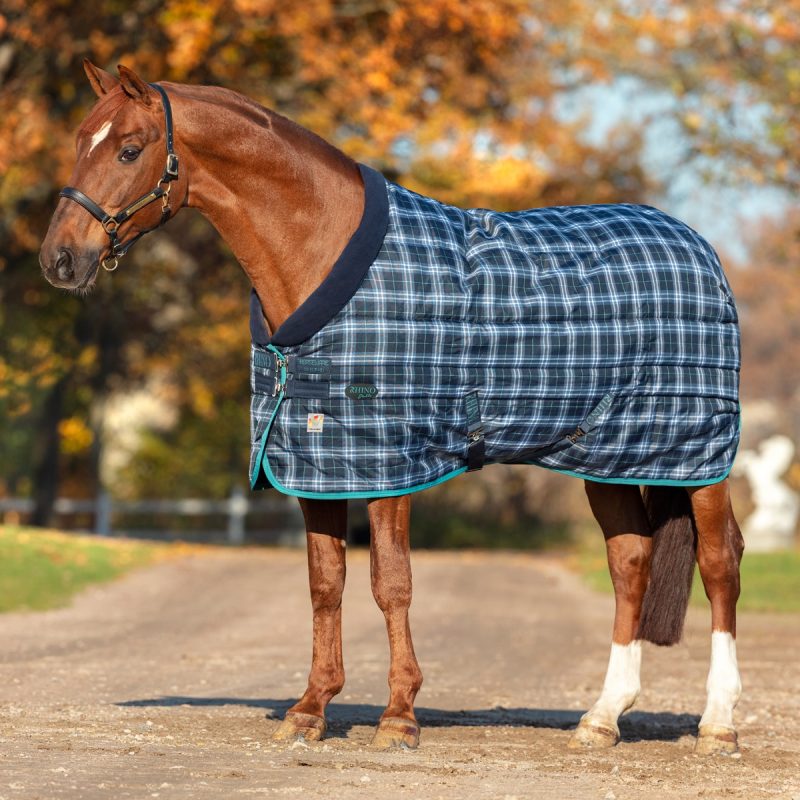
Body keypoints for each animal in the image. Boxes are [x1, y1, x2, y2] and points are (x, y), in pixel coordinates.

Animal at [40, 61, 744, 756]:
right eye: (77, 142)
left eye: (130, 149)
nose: (59, 260)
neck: (320, 250)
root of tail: (697, 244)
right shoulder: (319, 462)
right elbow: (326, 584)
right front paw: (311, 709)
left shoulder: (390, 463)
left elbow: (391, 583)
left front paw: (399, 716)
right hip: (611, 457)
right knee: (630, 562)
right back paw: (602, 718)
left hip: (698, 456)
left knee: (719, 563)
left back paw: (718, 722)